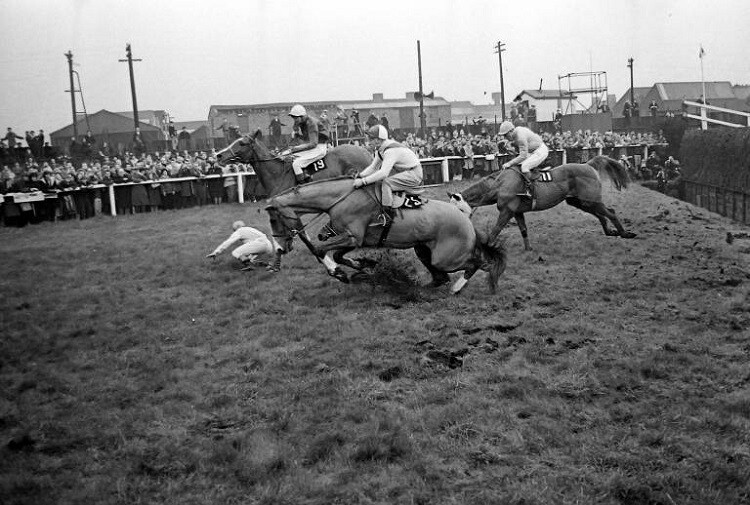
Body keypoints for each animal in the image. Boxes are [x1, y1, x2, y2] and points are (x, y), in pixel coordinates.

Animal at [214, 132, 374, 270]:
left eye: (242, 143)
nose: (219, 155)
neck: (277, 174)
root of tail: (365, 151)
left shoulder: (290, 211)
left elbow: (304, 239)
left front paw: (334, 268)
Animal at [268, 177, 508, 296]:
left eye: (273, 220)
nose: (281, 248)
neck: (341, 198)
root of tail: (467, 222)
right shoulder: (356, 239)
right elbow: (338, 255)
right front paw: (364, 265)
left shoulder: (353, 237)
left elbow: (321, 251)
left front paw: (341, 273)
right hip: (425, 249)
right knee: (442, 275)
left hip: (447, 258)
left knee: (479, 264)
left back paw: (461, 287)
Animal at [450, 153, 636, 249]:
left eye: (459, 209)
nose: (457, 225)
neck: (499, 184)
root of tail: (588, 164)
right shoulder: (517, 212)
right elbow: (523, 230)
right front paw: (529, 249)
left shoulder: (506, 211)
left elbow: (495, 230)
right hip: (579, 202)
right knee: (601, 214)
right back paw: (610, 232)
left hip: (590, 200)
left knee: (610, 212)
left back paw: (625, 233)